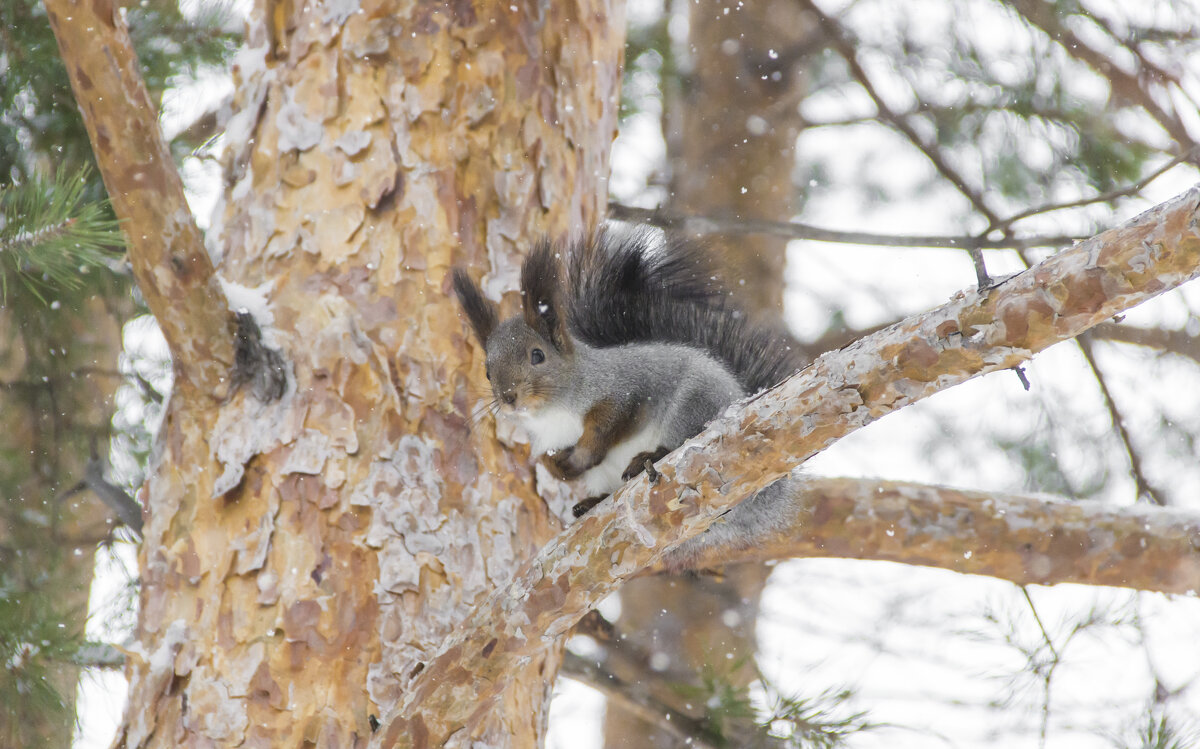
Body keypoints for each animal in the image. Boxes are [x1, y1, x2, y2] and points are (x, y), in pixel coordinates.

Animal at [453, 226, 811, 566]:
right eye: (487, 371)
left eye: (537, 356)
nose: (508, 397)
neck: (551, 413)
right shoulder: (547, 440)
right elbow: (554, 466)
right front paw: (562, 466)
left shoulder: (627, 386)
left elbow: (610, 420)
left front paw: (584, 454)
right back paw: (591, 502)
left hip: (694, 404)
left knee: (683, 443)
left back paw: (648, 459)